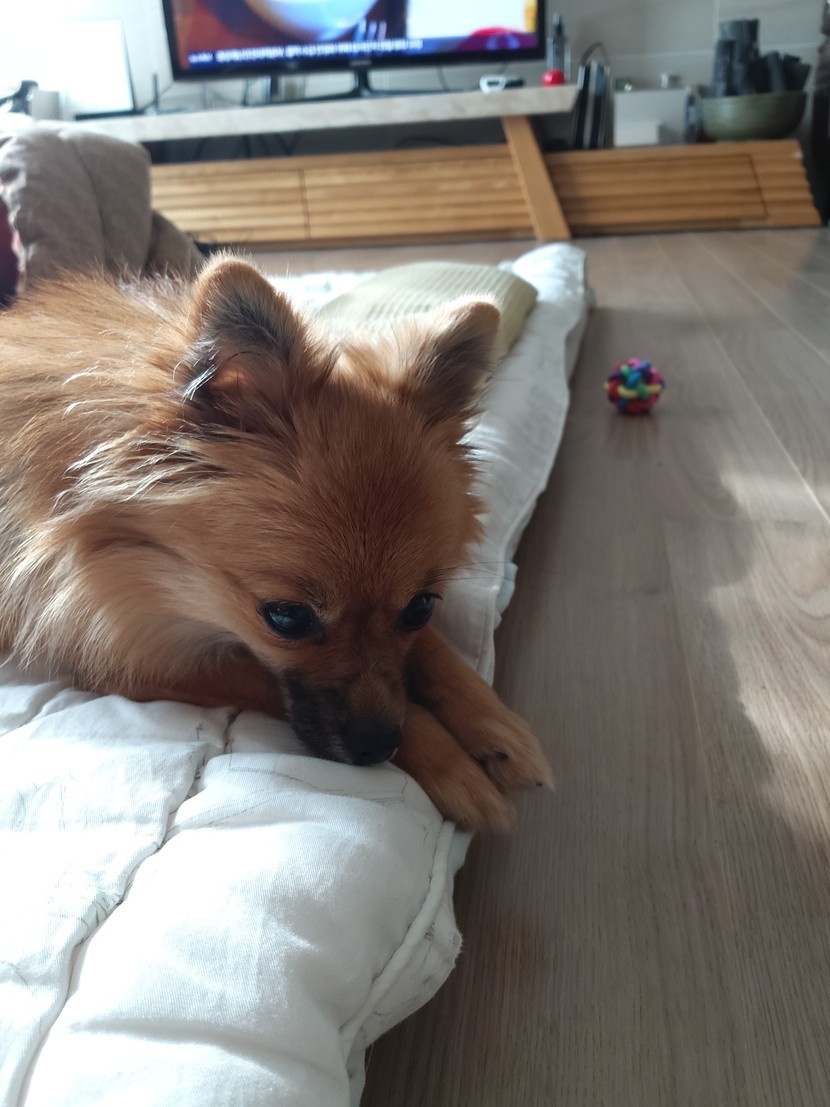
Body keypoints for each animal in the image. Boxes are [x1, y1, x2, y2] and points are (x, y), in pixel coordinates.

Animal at [0, 255, 552, 829]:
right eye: (286, 619)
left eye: (421, 609)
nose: (378, 745)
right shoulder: (123, 652)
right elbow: (260, 676)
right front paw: (452, 766)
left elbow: (432, 653)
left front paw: (496, 725)